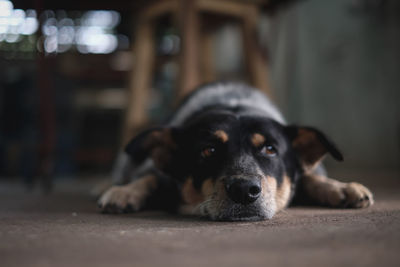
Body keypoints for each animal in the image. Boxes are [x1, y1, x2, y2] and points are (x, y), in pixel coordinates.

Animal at [98, 82, 374, 221]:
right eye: (208, 150)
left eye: (270, 149)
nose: (244, 190)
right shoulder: (153, 170)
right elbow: (151, 176)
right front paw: (125, 192)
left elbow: (309, 177)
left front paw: (340, 188)